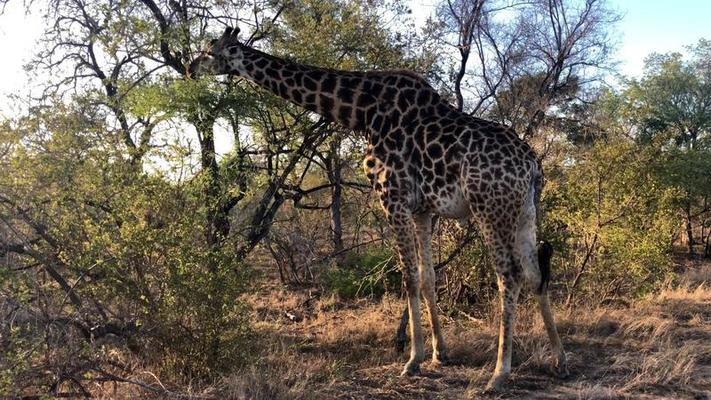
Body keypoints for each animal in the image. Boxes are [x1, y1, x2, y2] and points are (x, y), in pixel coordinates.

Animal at [189, 28, 568, 390]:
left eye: (209, 51)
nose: (191, 68)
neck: (361, 111)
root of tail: (532, 163)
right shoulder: (423, 209)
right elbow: (428, 276)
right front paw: (439, 353)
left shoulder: (392, 197)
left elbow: (408, 275)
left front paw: (412, 360)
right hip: (525, 210)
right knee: (534, 273)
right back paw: (557, 358)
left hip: (490, 207)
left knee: (510, 275)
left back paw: (499, 374)